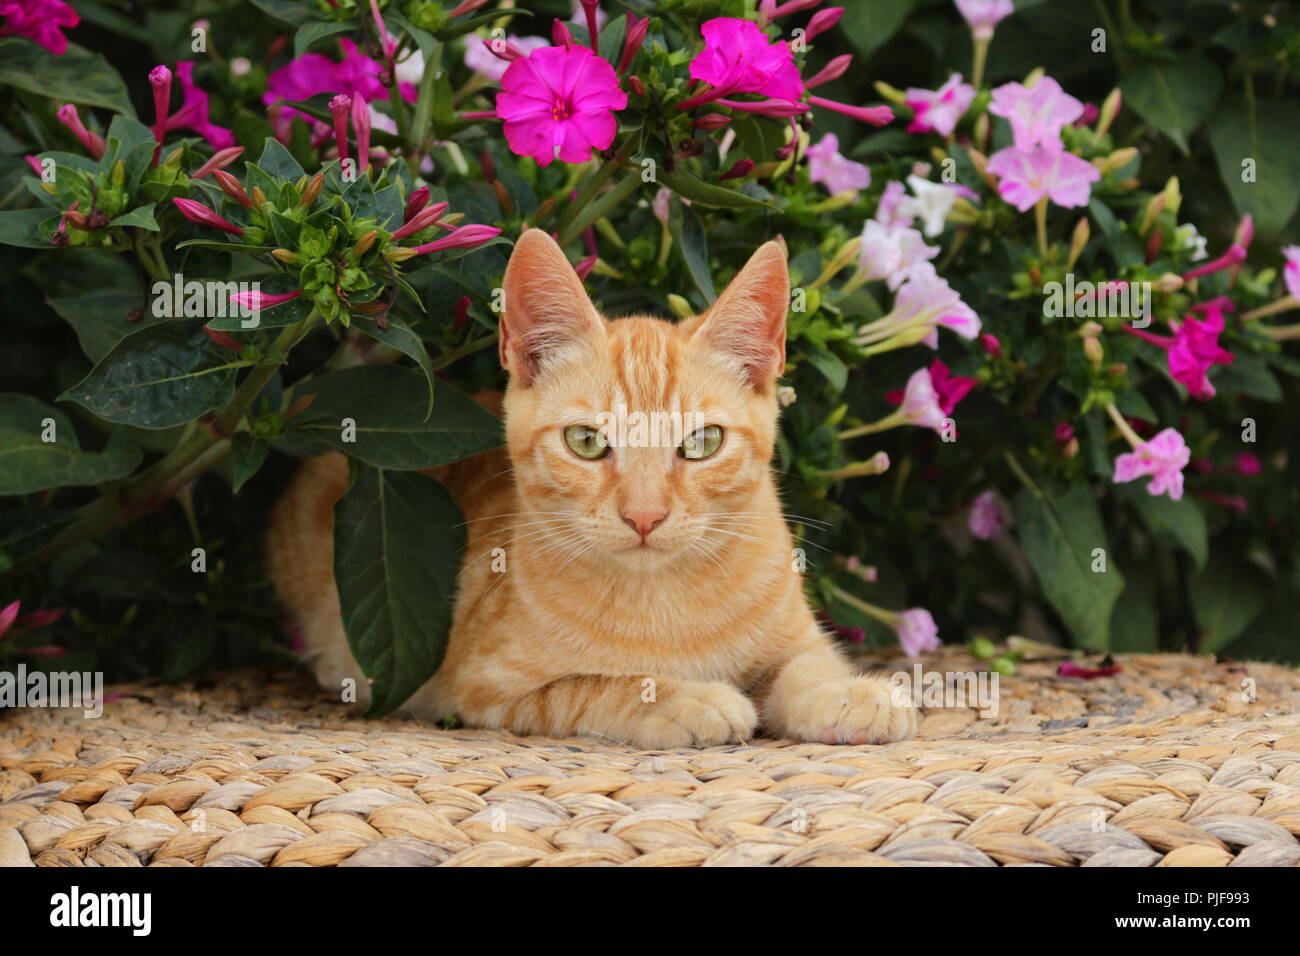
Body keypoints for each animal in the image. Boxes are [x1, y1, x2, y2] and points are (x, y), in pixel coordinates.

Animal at [263, 230, 915, 749]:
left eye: (702, 442)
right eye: (586, 442)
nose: (645, 516)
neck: (665, 598)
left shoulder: (798, 639)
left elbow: (808, 665)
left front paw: (850, 694)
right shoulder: (478, 687)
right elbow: (596, 685)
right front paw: (687, 697)